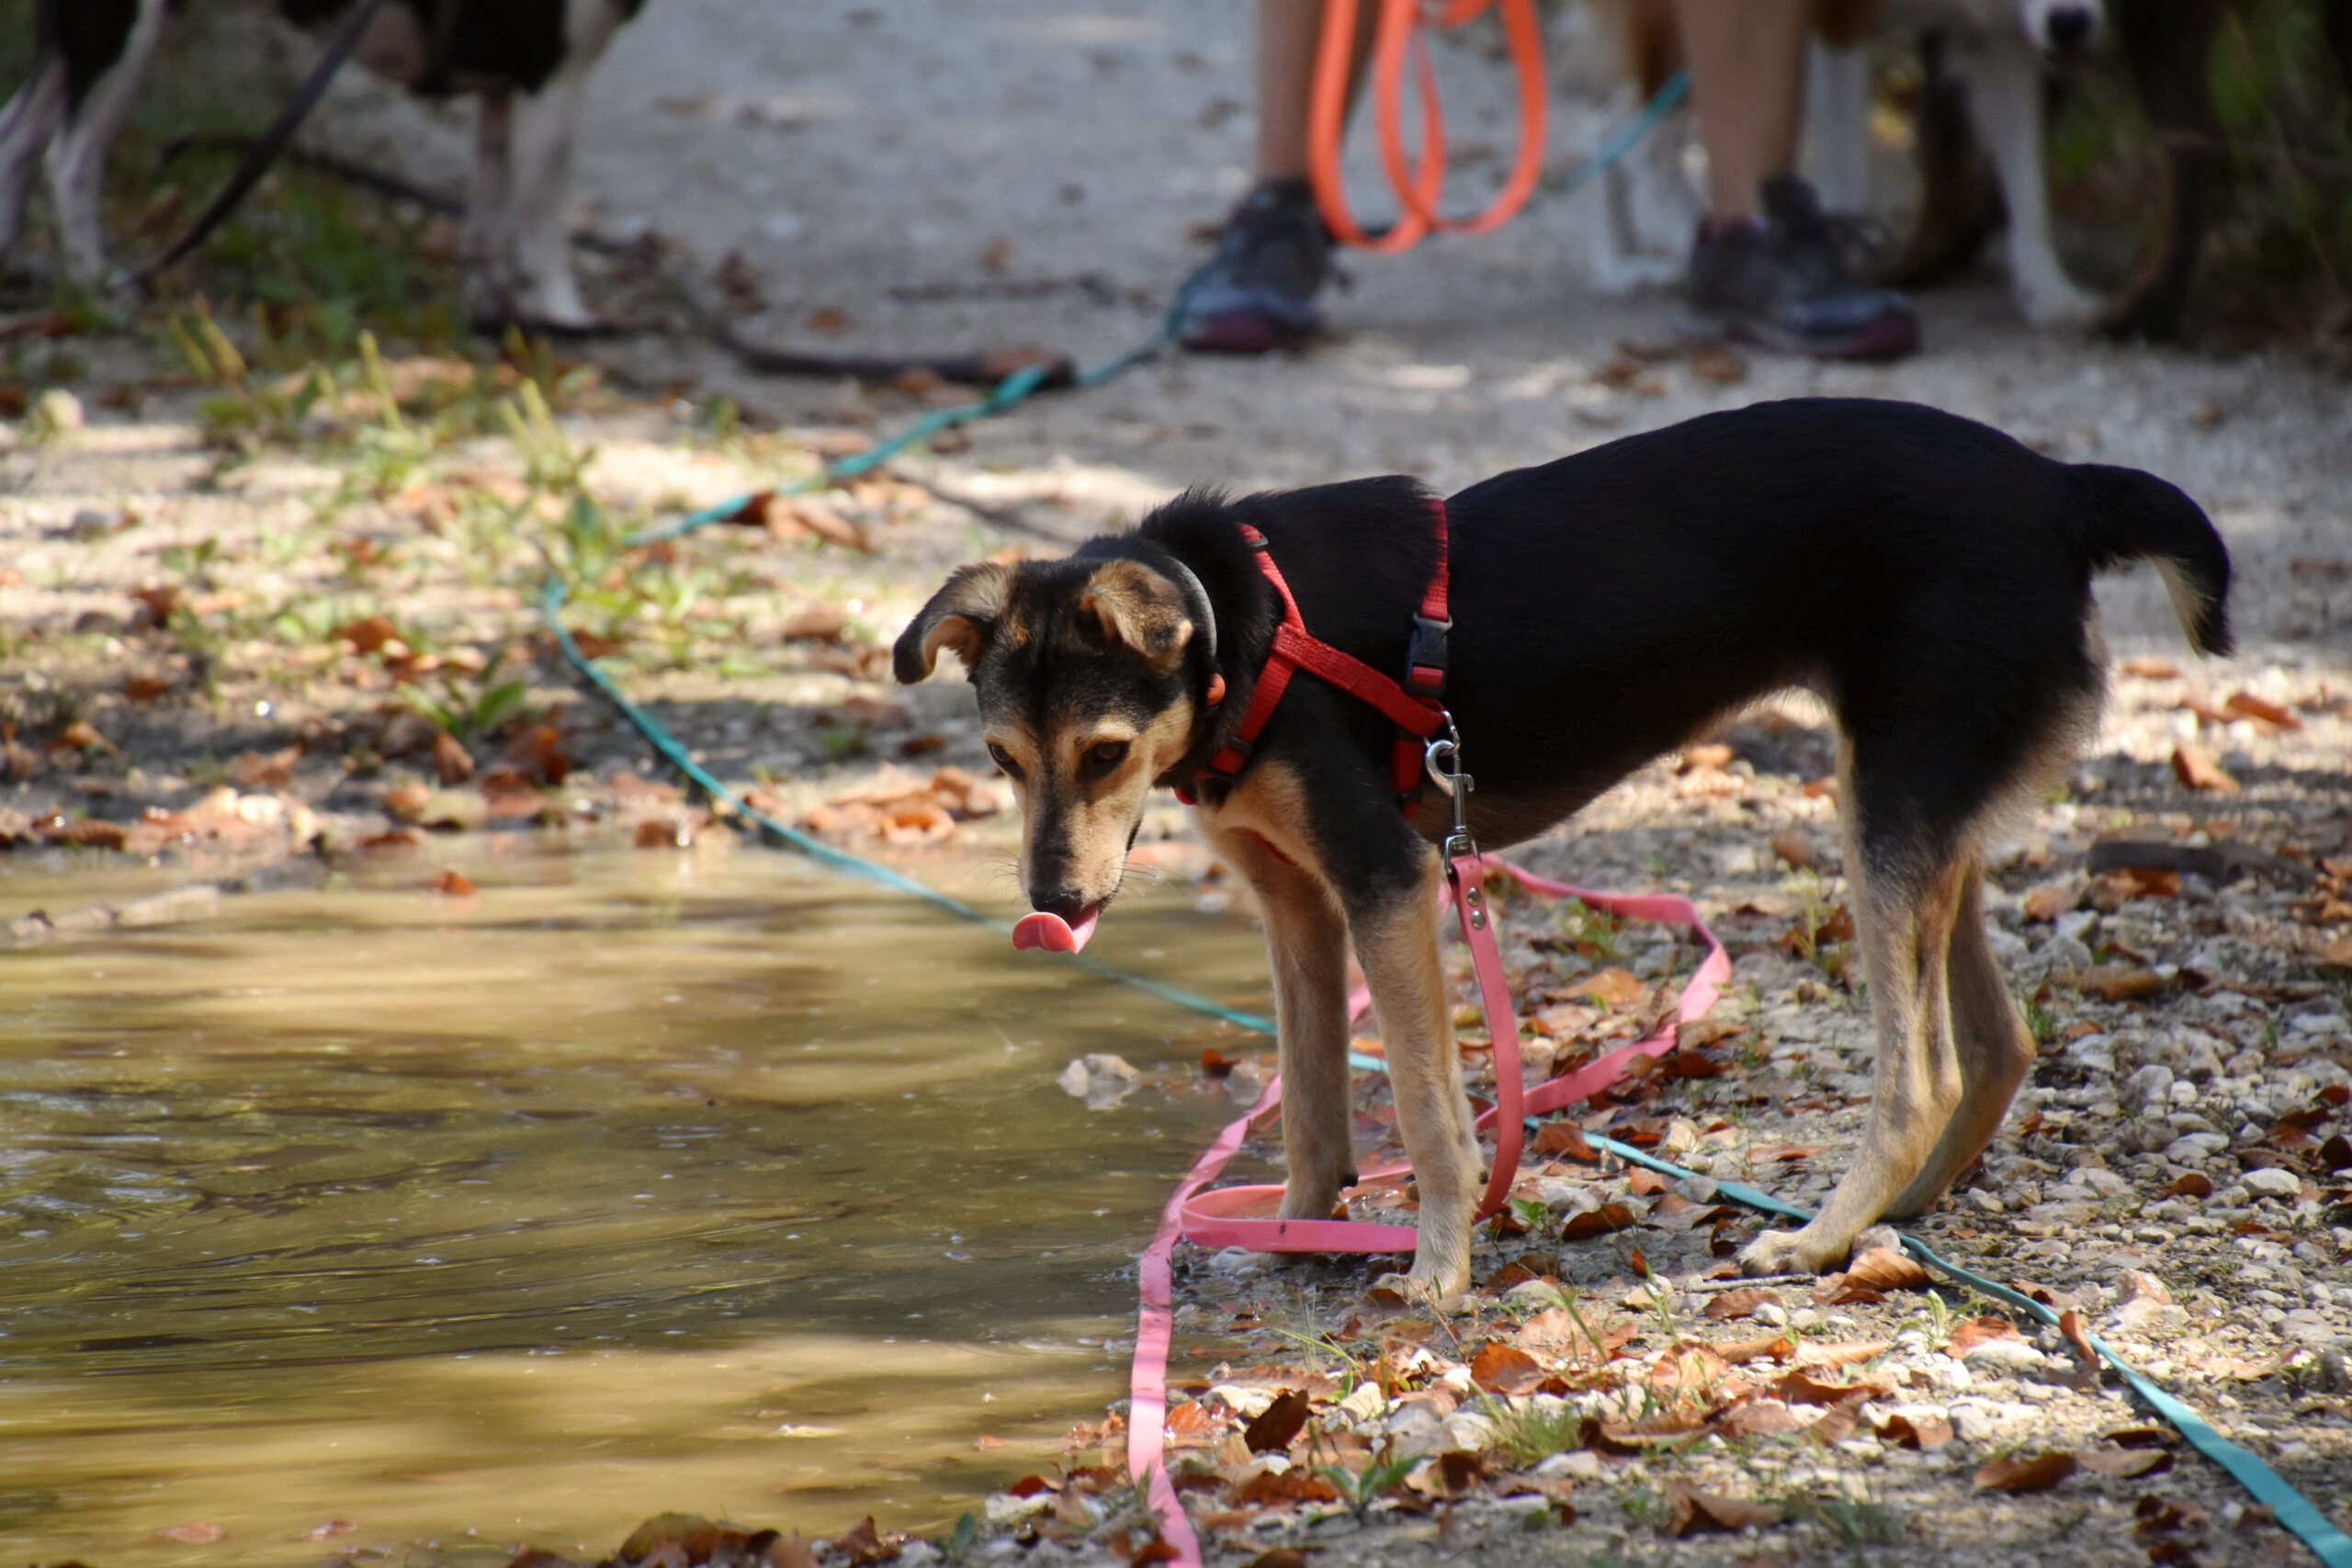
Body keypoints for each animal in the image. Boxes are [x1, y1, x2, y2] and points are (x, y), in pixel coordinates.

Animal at [0, 2, 644, 329]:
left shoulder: (500, 98)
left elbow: (491, 219)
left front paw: (497, 311)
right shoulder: (551, 83)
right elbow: (543, 214)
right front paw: (563, 311)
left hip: (76, 44)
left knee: (17, 136)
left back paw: (15, 259)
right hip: (120, 32)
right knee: (72, 157)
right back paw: (97, 279)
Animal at [888, 400, 2229, 1297]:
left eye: (1105, 751)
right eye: (1003, 758)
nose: (1051, 907)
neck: (1237, 629)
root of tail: (2057, 487)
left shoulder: (1388, 882)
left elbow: (1427, 1108)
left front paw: (1435, 1269)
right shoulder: (1300, 908)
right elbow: (1314, 1105)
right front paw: (1298, 1232)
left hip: (1886, 810)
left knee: (1925, 1074)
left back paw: (1817, 1237)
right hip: (1928, 806)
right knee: (2000, 1044)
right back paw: (1894, 1219)